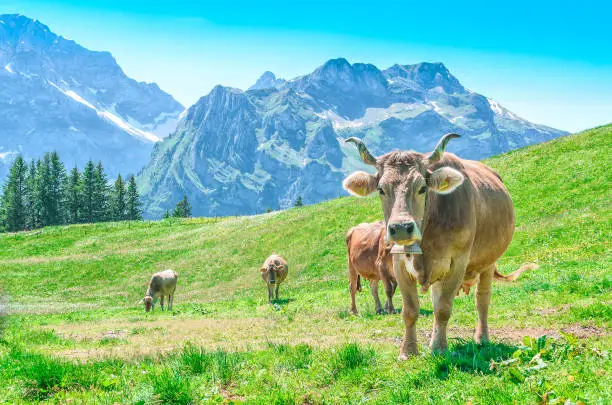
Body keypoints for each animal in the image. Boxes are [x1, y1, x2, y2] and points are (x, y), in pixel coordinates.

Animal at [344, 133, 536, 356]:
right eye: (381, 189)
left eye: (422, 188)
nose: (400, 228)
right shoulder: (398, 263)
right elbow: (410, 310)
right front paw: (408, 351)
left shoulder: (458, 262)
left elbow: (443, 308)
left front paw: (440, 349)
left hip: (488, 262)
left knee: (482, 299)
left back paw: (481, 338)